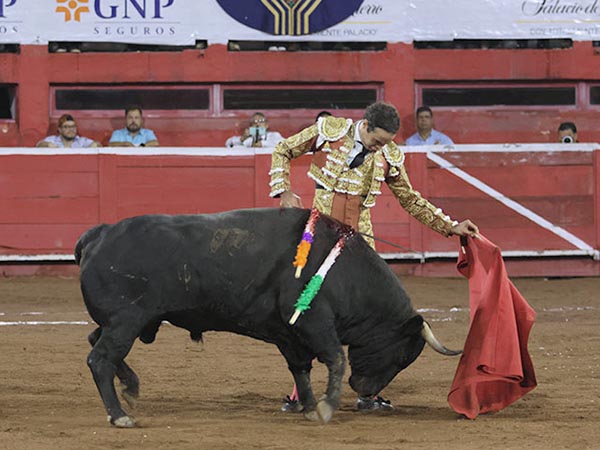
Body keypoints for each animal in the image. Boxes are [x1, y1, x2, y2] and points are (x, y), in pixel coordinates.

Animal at [76, 207, 460, 426]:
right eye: (402, 356)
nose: (366, 391)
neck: (343, 269)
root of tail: (100, 233)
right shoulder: (312, 321)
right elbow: (335, 358)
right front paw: (325, 408)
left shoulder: (288, 333)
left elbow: (301, 369)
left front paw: (308, 407)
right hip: (127, 321)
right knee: (100, 358)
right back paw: (120, 415)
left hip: (128, 322)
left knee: (96, 343)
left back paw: (131, 388)